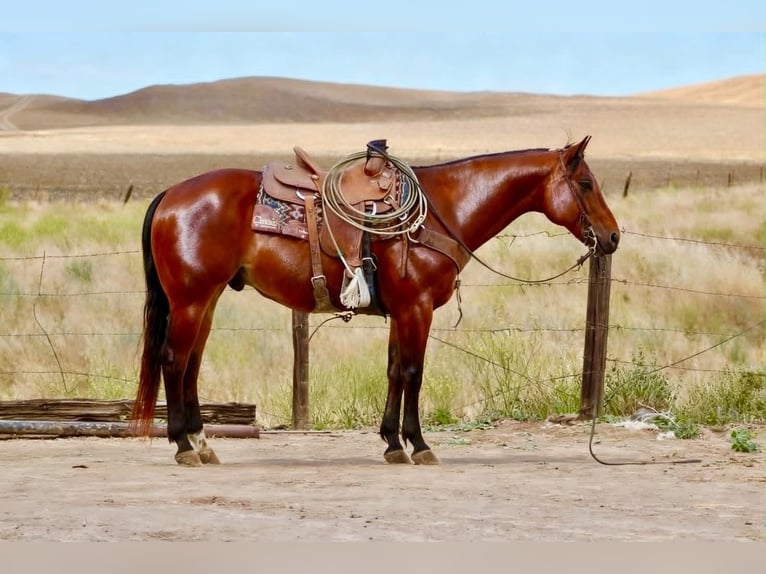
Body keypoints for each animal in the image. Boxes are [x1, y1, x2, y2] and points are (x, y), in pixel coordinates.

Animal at [130, 135, 620, 466]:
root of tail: (170, 195)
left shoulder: (400, 312)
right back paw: (182, 445)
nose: (613, 236)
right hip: (191, 299)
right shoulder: (417, 308)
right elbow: (413, 373)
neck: (441, 211)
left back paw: (202, 444)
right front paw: (418, 444)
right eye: (585, 183)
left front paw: (391, 443)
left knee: (191, 364)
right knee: (174, 360)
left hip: (206, 300)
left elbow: (394, 372)